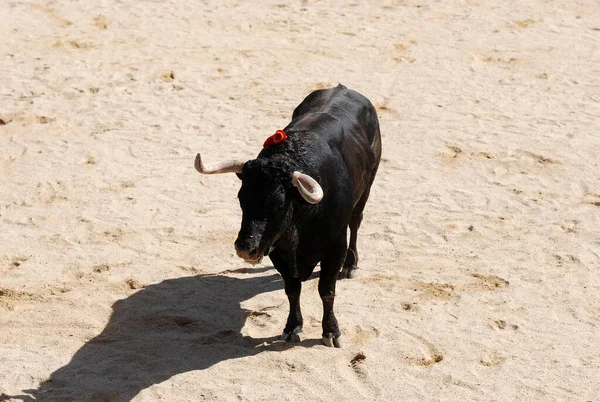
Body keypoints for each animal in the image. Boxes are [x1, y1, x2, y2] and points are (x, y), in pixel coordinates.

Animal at [197, 84, 384, 346]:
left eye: (278, 205)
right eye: (241, 199)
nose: (245, 248)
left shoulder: (334, 246)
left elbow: (327, 290)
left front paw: (331, 332)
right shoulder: (278, 249)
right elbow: (292, 289)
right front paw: (292, 327)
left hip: (368, 185)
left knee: (356, 222)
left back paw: (351, 264)